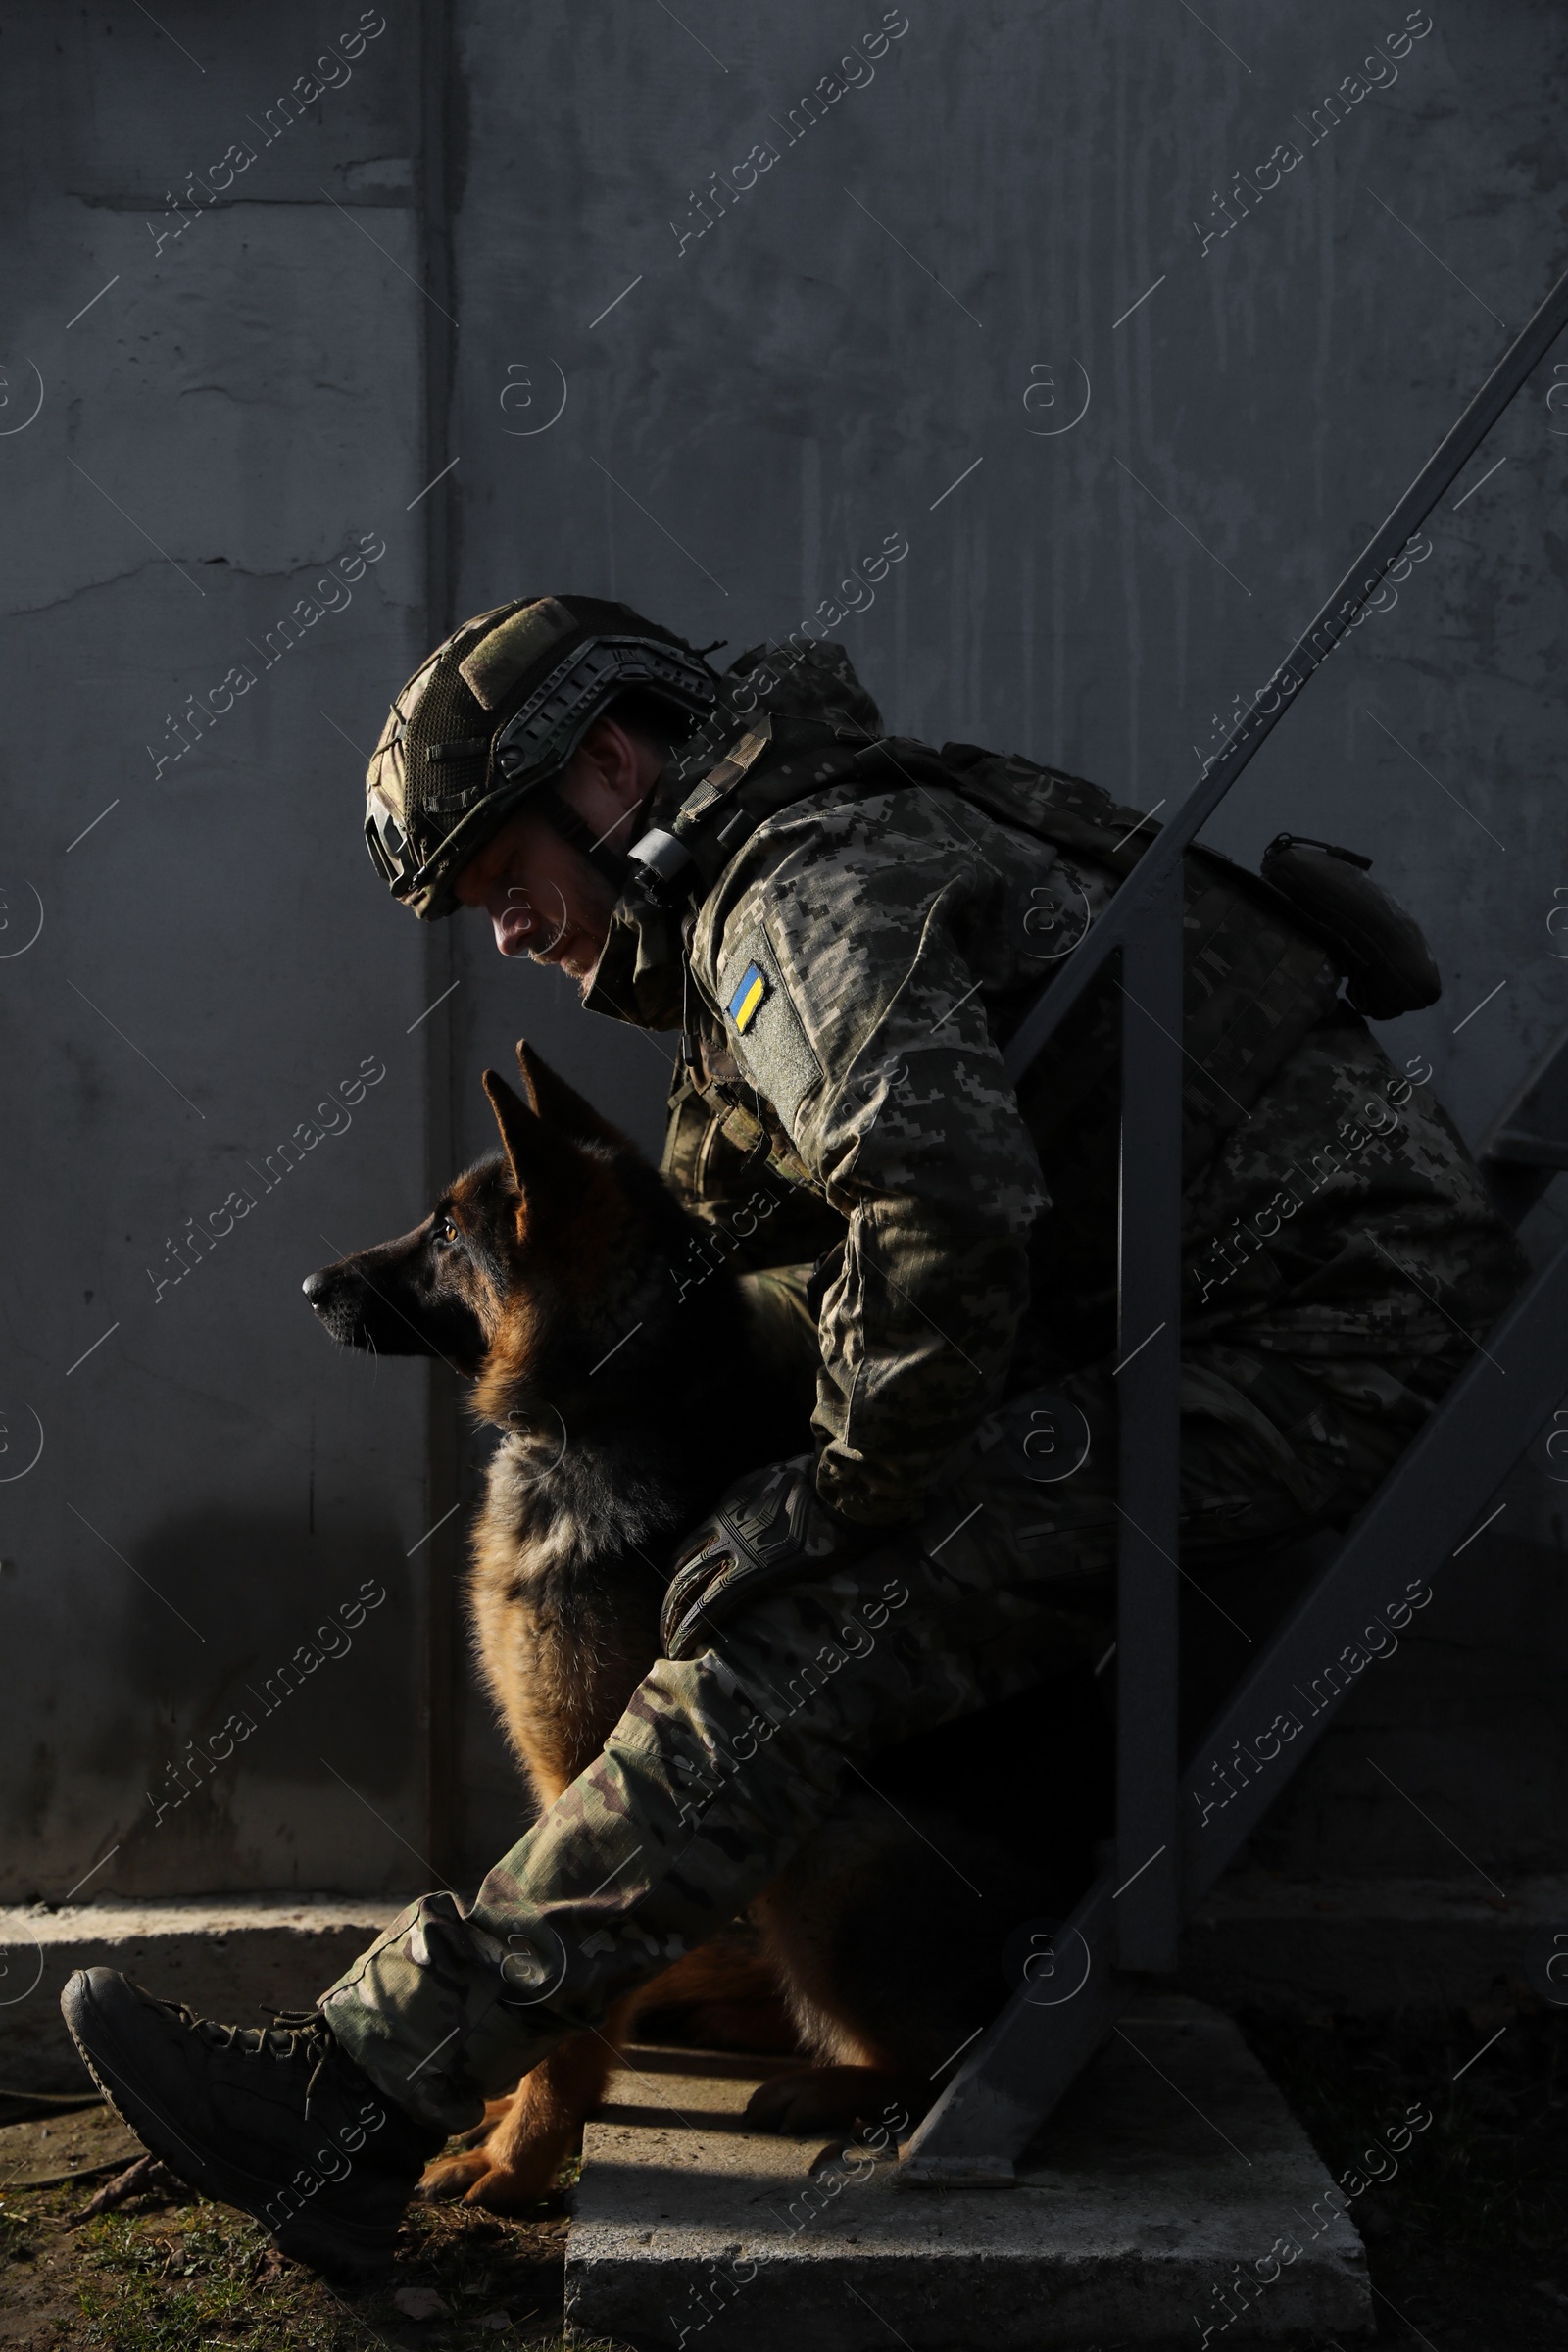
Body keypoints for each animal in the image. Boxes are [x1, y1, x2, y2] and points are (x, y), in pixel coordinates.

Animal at [305, 1044, 1109, 2201]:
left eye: (449, 1234)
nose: (310, 1287)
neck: (605, 1405)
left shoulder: (595, 1781)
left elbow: (565, 1995)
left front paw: (522, 2149)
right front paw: (508, 2111)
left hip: (833, 1855)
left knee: (934, 2065)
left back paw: (828, 2086)